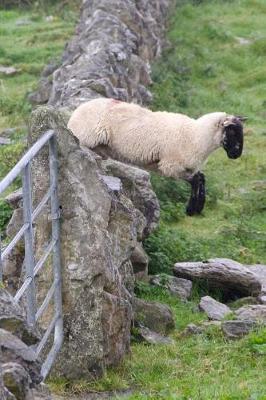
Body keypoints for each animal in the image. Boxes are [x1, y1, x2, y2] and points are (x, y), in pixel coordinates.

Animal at [67, 98, 245, 214]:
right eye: (232, 131)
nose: (236, 154)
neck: (197, 136)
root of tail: (75, 113)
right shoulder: (170, 166)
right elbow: (196, 180)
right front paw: (191, 208)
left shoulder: (185, 166)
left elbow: (201, 178)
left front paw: (198, 206)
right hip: (85, 138)